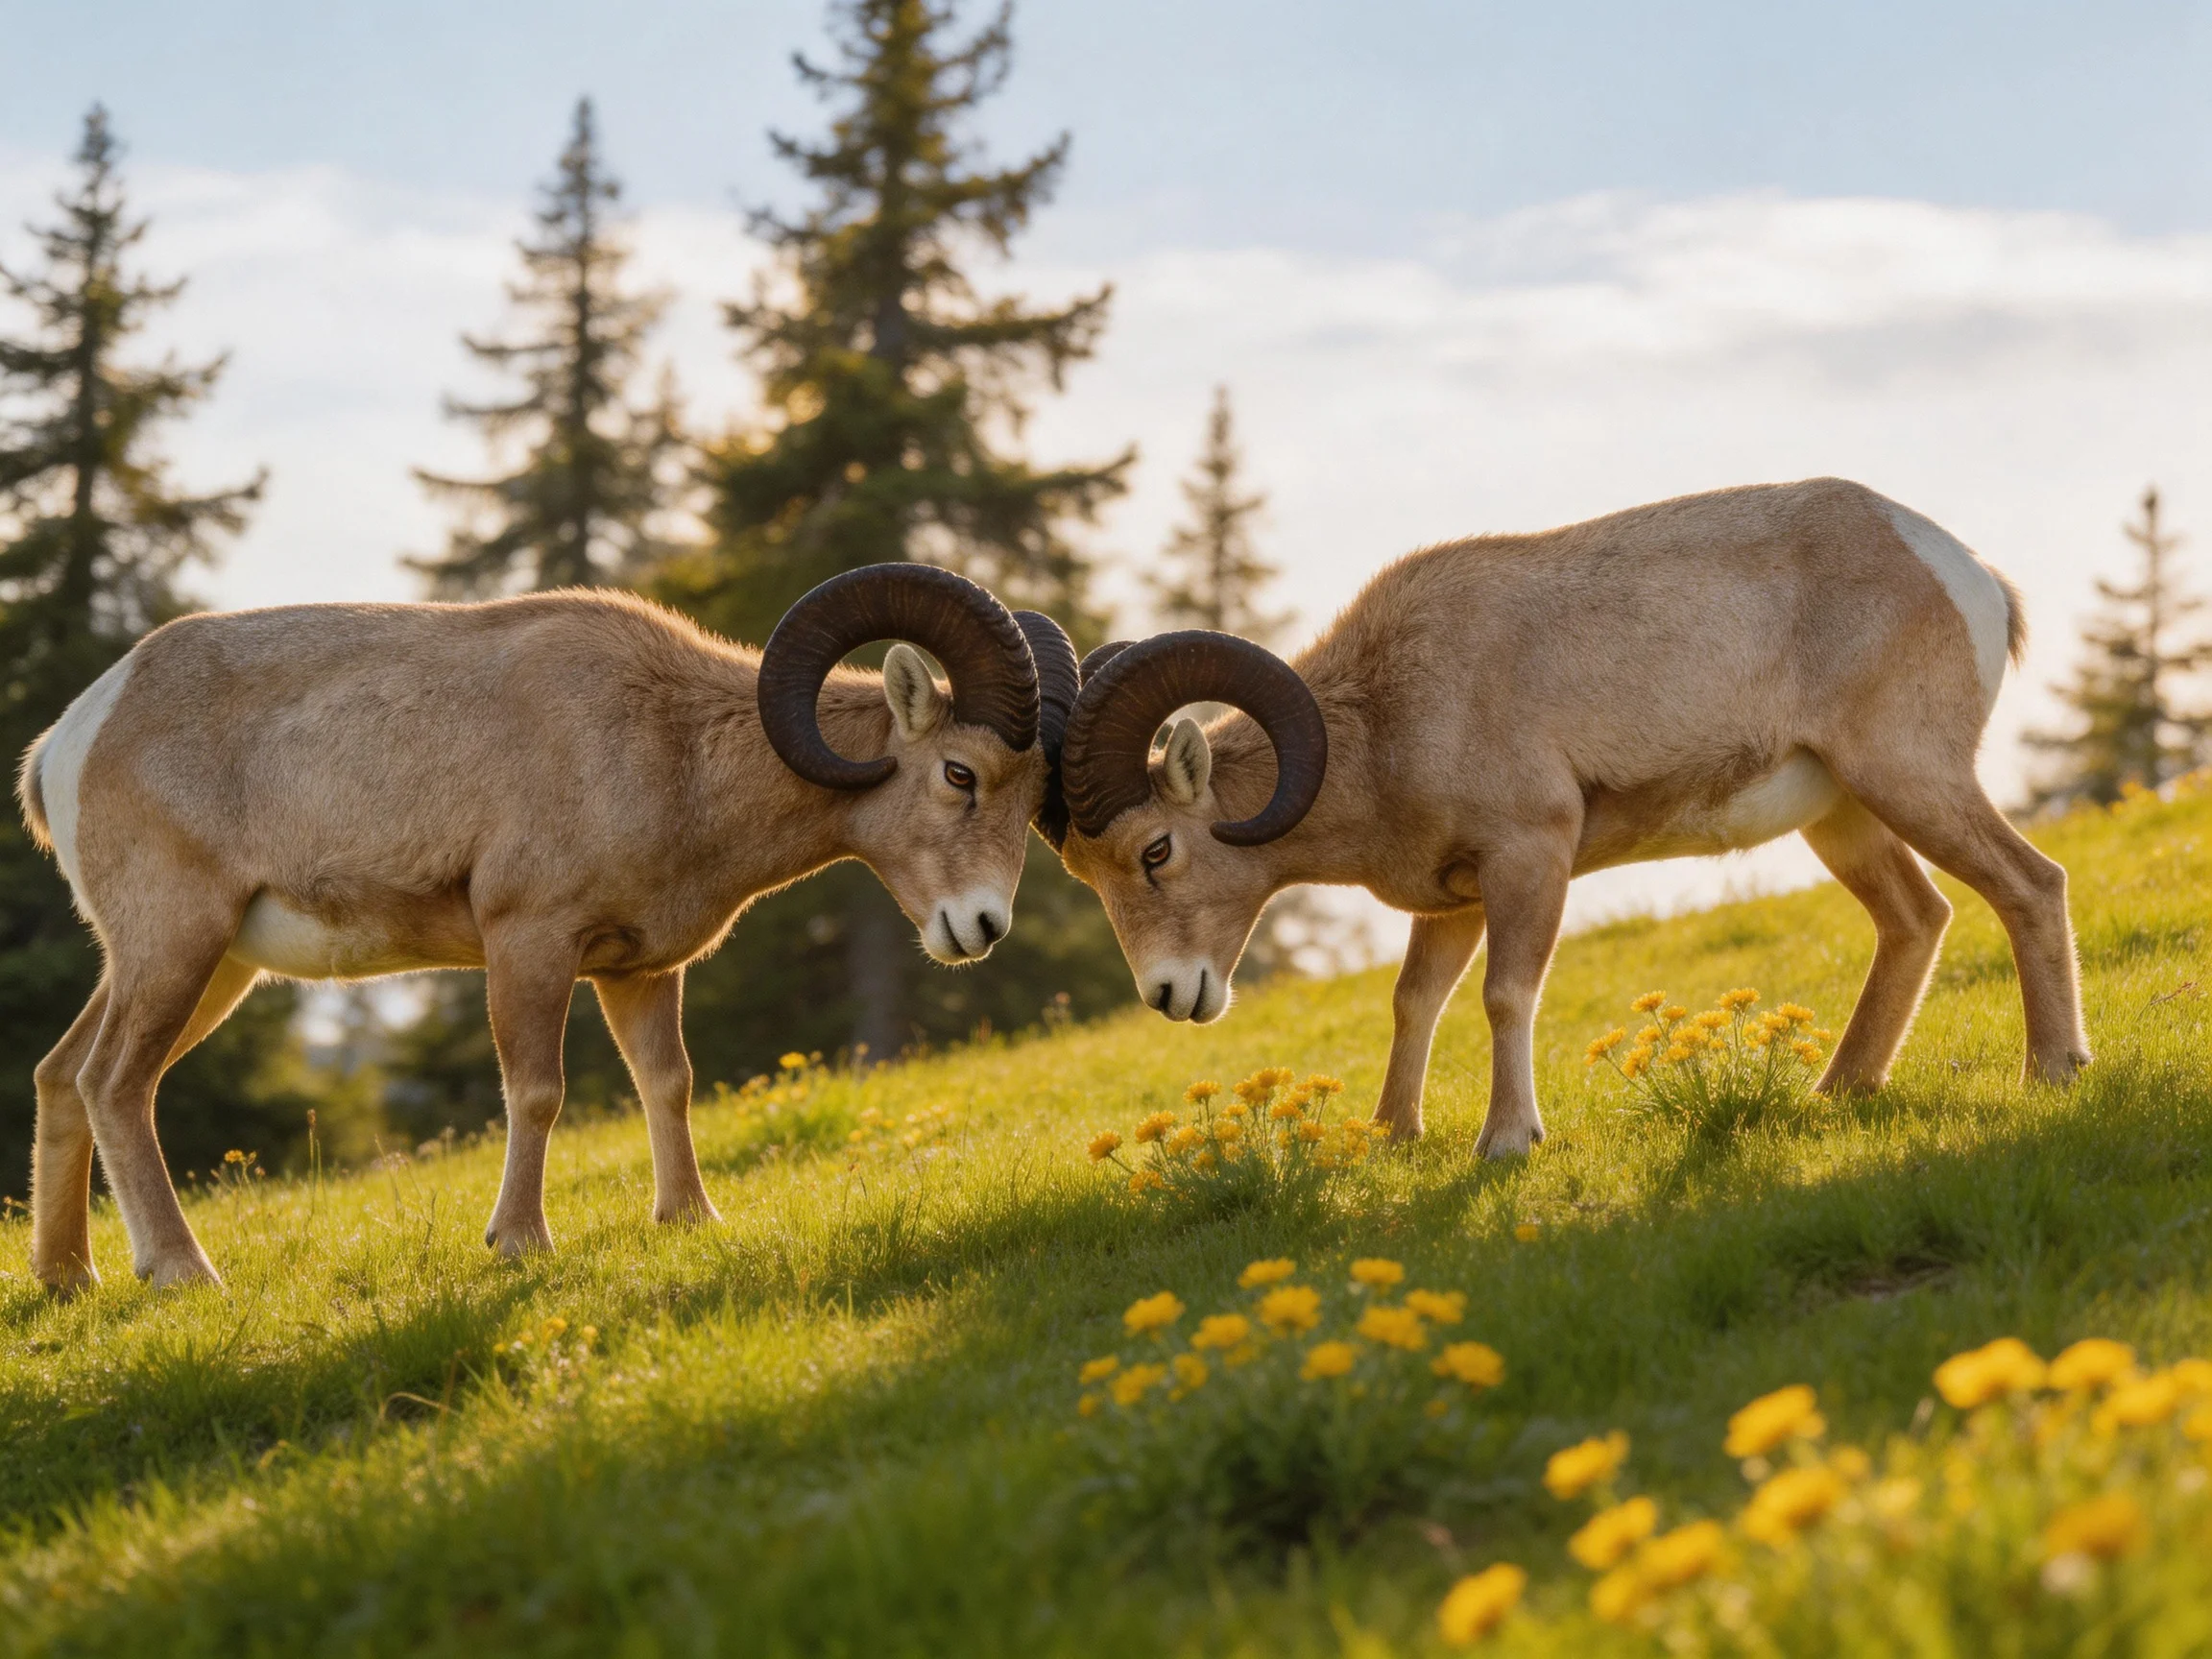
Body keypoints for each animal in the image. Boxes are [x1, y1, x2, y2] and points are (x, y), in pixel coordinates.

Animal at [17, 563, 1078, 1291]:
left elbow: (667, 1084)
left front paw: (690, 1220)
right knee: (116, 1084)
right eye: (959, 773)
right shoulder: (529, 944)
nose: (981, 925)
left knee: (63, 1076)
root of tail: (71, 739)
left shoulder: (638, 973)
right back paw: (181, 1271)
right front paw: (521, 1243)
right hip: (176, 947)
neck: (672, 750)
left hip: (198, 968)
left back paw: (70, 1279)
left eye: (1033, 799)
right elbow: (537, 1093)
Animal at [1050, 478, 2089, 1156]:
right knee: (1918, 920)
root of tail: (1966, 573)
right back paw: (1839, 1091)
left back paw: (2053, 1072)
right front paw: (1393, 1134)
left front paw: (1508, 1141)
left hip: (1908, 776)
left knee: (2030, 884)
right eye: (1084, 874)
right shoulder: (1453, 901)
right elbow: (1415, 1002)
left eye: (1156, 849)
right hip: (1845, 816)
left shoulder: (1529, 858)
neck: (1385, 717)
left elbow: (1506, 996)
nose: (1169, 994)